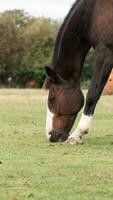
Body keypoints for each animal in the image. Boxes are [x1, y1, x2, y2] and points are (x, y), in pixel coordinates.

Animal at [44, 0, 113, 144]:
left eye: (52, 97)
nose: (50, 135)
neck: (92, 12)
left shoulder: (105, 51)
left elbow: (93, 94)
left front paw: (77, 134)